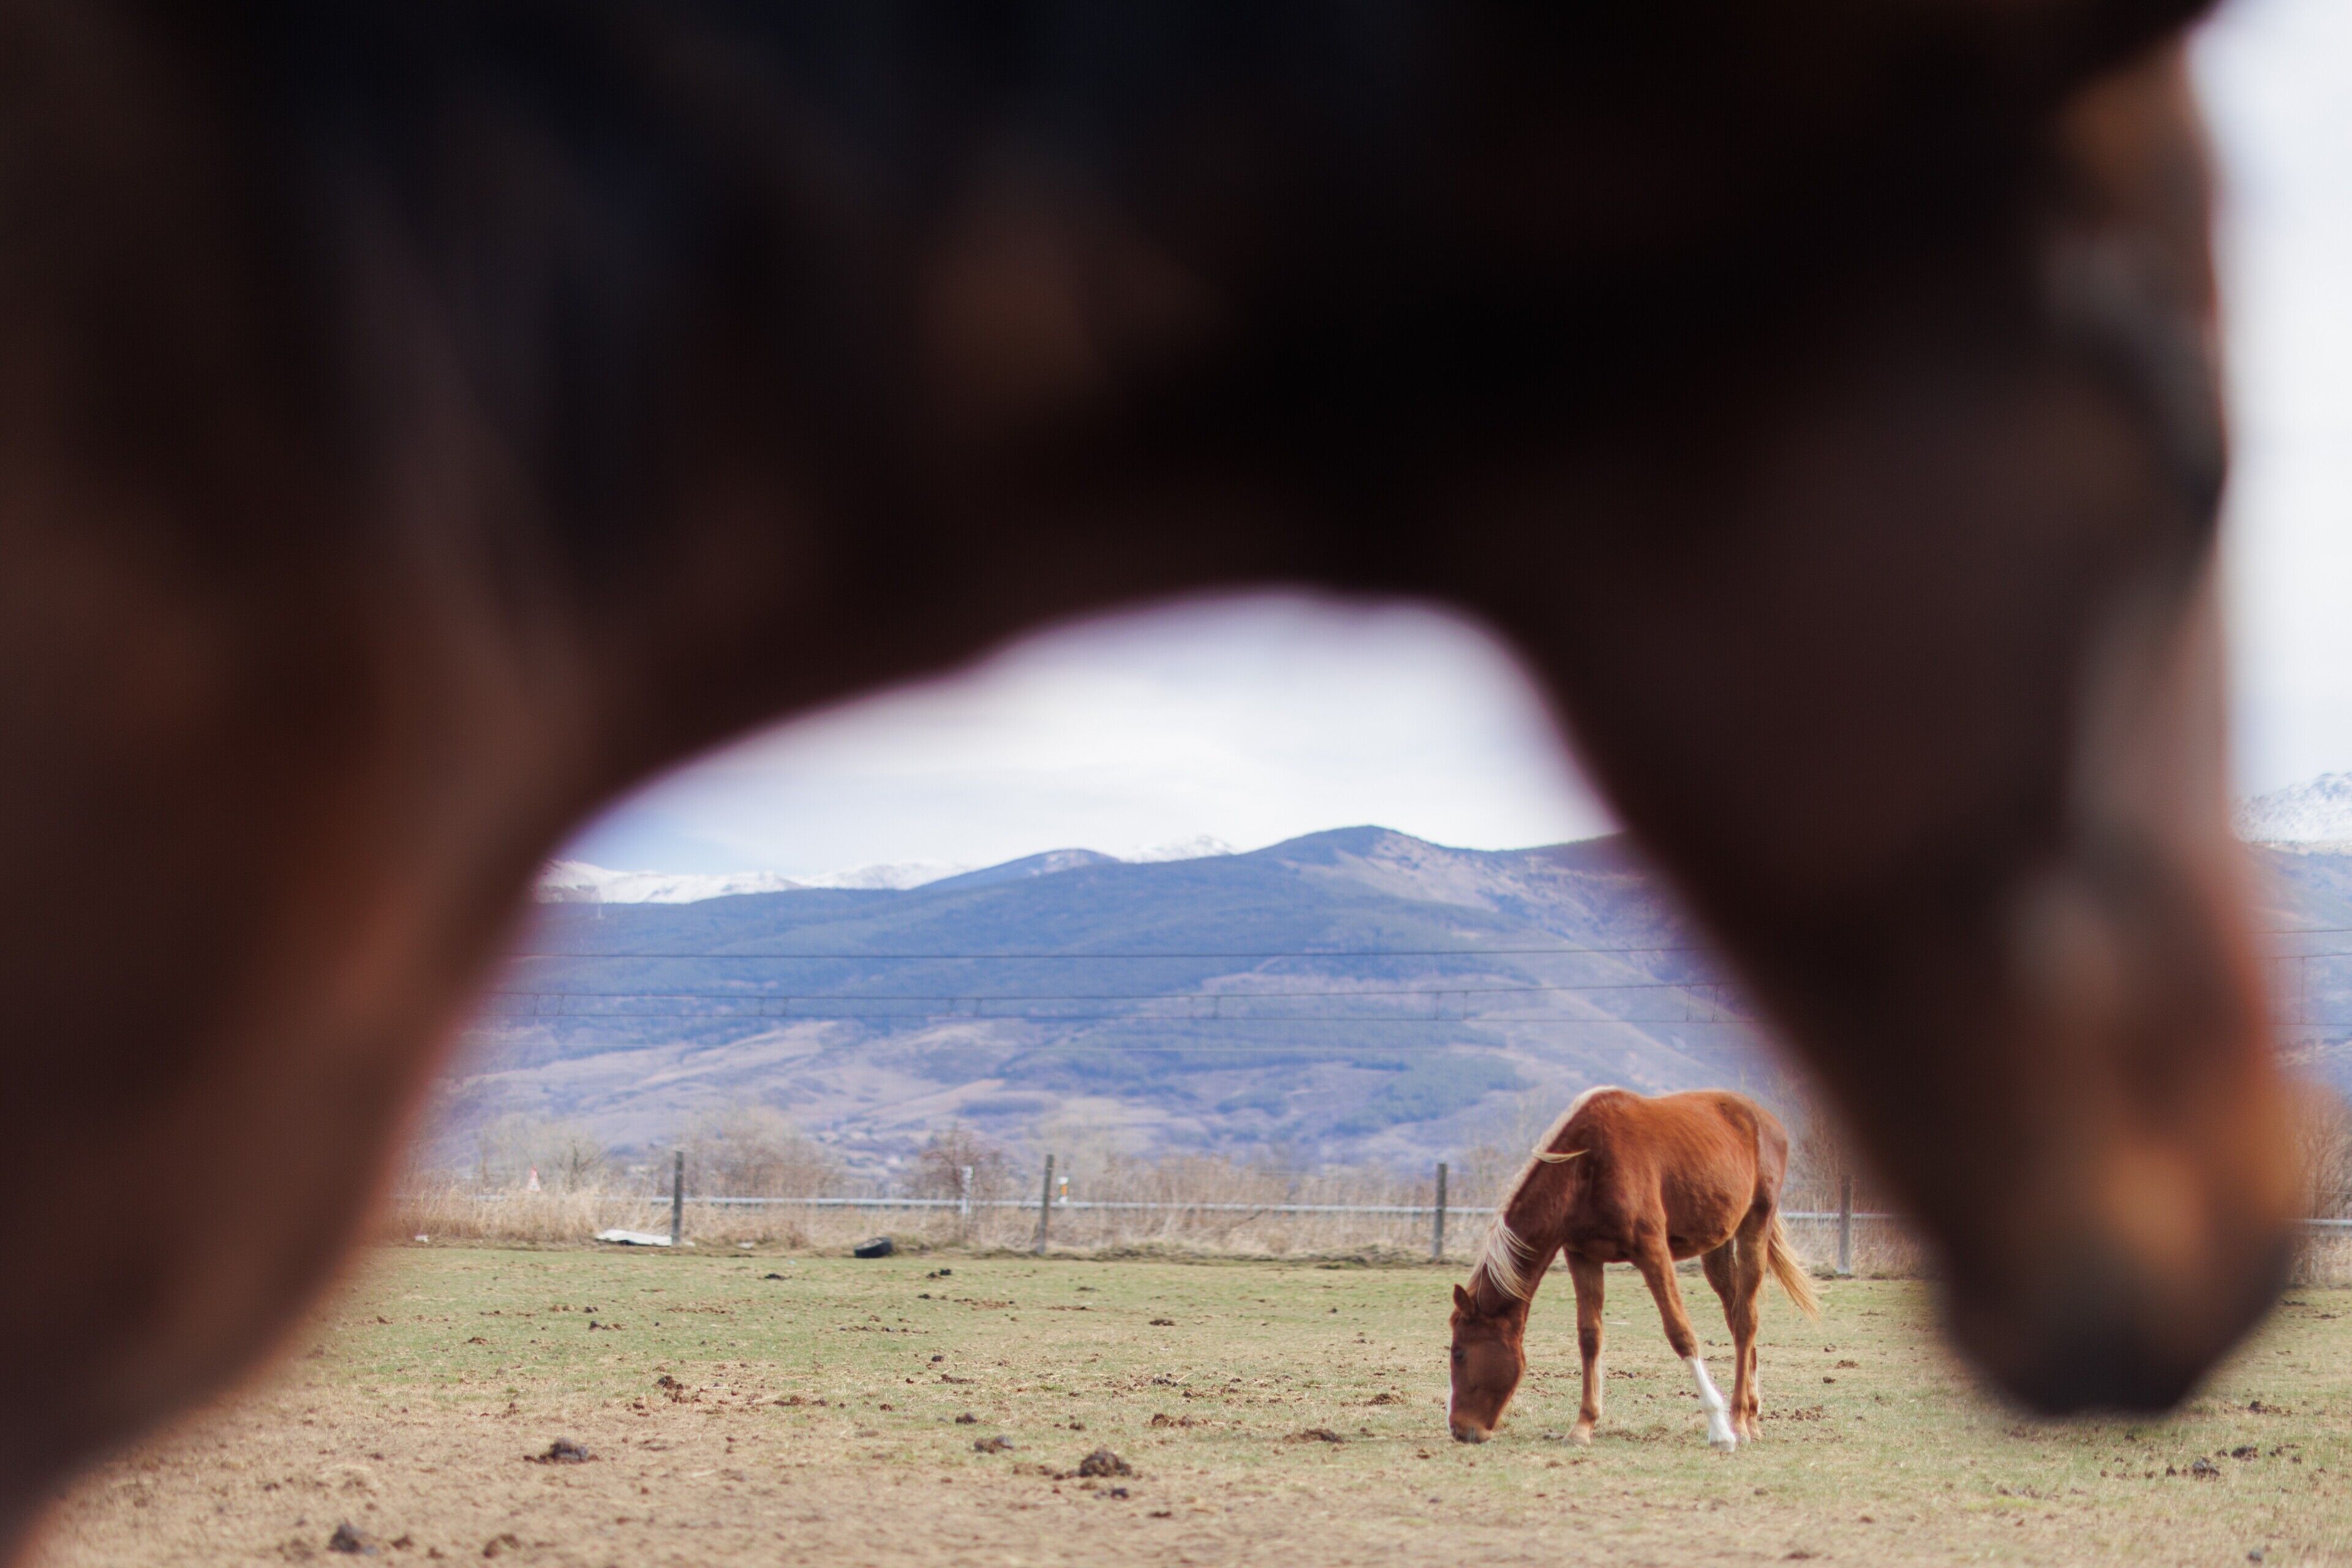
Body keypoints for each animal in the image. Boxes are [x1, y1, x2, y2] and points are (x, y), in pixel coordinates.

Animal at [1449, 1089, 1820, 1449]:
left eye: (1459, 1353)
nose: (1459, 1429)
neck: (1587, 1166)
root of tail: (1765, 1120)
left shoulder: (1653, 1251)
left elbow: (1681, 1333)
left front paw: (1719, 1431)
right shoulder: (1582, 1256)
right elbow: (1590, 1337)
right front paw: (1582, 1427)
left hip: (1754, 1229)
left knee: (1745, 1322)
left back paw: (1739, 1423)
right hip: (1717, 1250)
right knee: (1737, 1317)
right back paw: (1752, 1420)